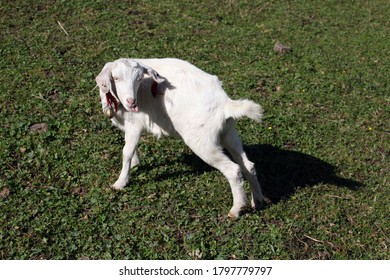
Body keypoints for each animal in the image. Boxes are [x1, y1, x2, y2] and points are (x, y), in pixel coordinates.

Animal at [95, 58, 266, 218]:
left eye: (139, 79)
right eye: (116, 78)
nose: (132, 102)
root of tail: (225, 104)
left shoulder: (134, 124)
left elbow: (126, 152)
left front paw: (120, 182)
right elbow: (131, 147)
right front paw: (136, 164)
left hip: (202, 142)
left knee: (233, 170)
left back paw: (236, 210)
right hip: (228, 132)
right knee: (247, 165)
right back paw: (258, 201)